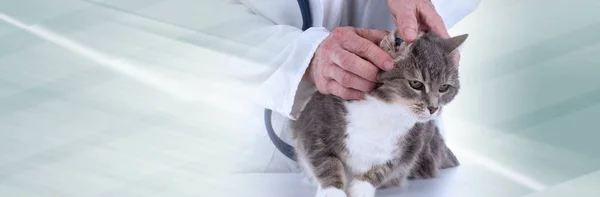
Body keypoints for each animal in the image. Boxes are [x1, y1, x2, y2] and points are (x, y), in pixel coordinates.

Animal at [290, 29, 468, 197]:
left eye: (444, 87)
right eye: (416, 84)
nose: (433, 108)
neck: (387, 110)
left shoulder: (410, 145)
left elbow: (383, 169)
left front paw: (361, 189)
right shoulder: (316, 125)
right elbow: (326, 161)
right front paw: (332, 191)